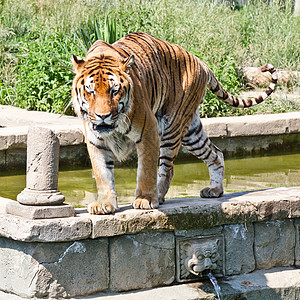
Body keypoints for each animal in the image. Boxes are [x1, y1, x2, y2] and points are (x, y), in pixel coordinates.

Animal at [71, 31, 278, 214]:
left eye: (114, 91)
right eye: (91, 91)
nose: (103, 115)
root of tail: (201, 62)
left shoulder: (148, 130)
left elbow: (146, 170)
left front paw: (145, 200)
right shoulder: (95, 140)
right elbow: (102, 174)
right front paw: (104, 204)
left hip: (173, 127)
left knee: (168, 169)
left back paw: (158, 196)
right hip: (191, 133)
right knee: (216, 153)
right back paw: (215, 190)